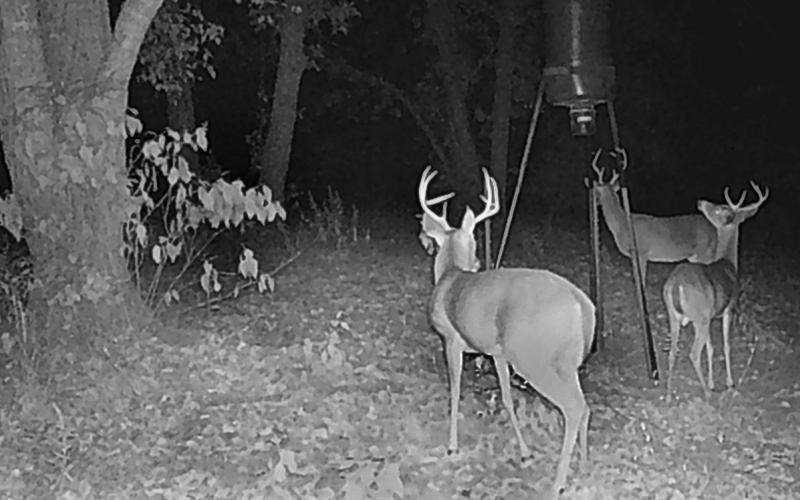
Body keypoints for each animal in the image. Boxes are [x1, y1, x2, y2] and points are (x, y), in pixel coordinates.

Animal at [417, 165, 596, 497]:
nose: (477, 261)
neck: (449, 275)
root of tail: (581, 303)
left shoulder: (451, 339)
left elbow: (455, 390)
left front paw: (452, 447)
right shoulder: (495, 352)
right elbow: (506, 397)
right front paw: (525, 453)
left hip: (532, 357)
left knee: (574, 407)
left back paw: (558, 483)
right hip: (566, 360)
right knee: (585, 406)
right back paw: (584, 465)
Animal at [589, 148, 720, 287]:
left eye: (597, 191)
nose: (595, 202)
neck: (621, 224)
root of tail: (714, 229)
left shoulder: (641, 252)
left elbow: (641, 280)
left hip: (705, 253)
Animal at [662, 181, 769, 400]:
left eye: (720, 208)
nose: (700, 202)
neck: (729, 263)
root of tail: (676, 284)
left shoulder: (711, 314)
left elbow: (710, 348)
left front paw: (713, 382)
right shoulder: (729, 308)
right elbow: (726, 346)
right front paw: (729, 383)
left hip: (676, 315)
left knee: (673, 351)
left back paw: (668, 394)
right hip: (699, 317)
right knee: (693, 353)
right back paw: (706, 393)